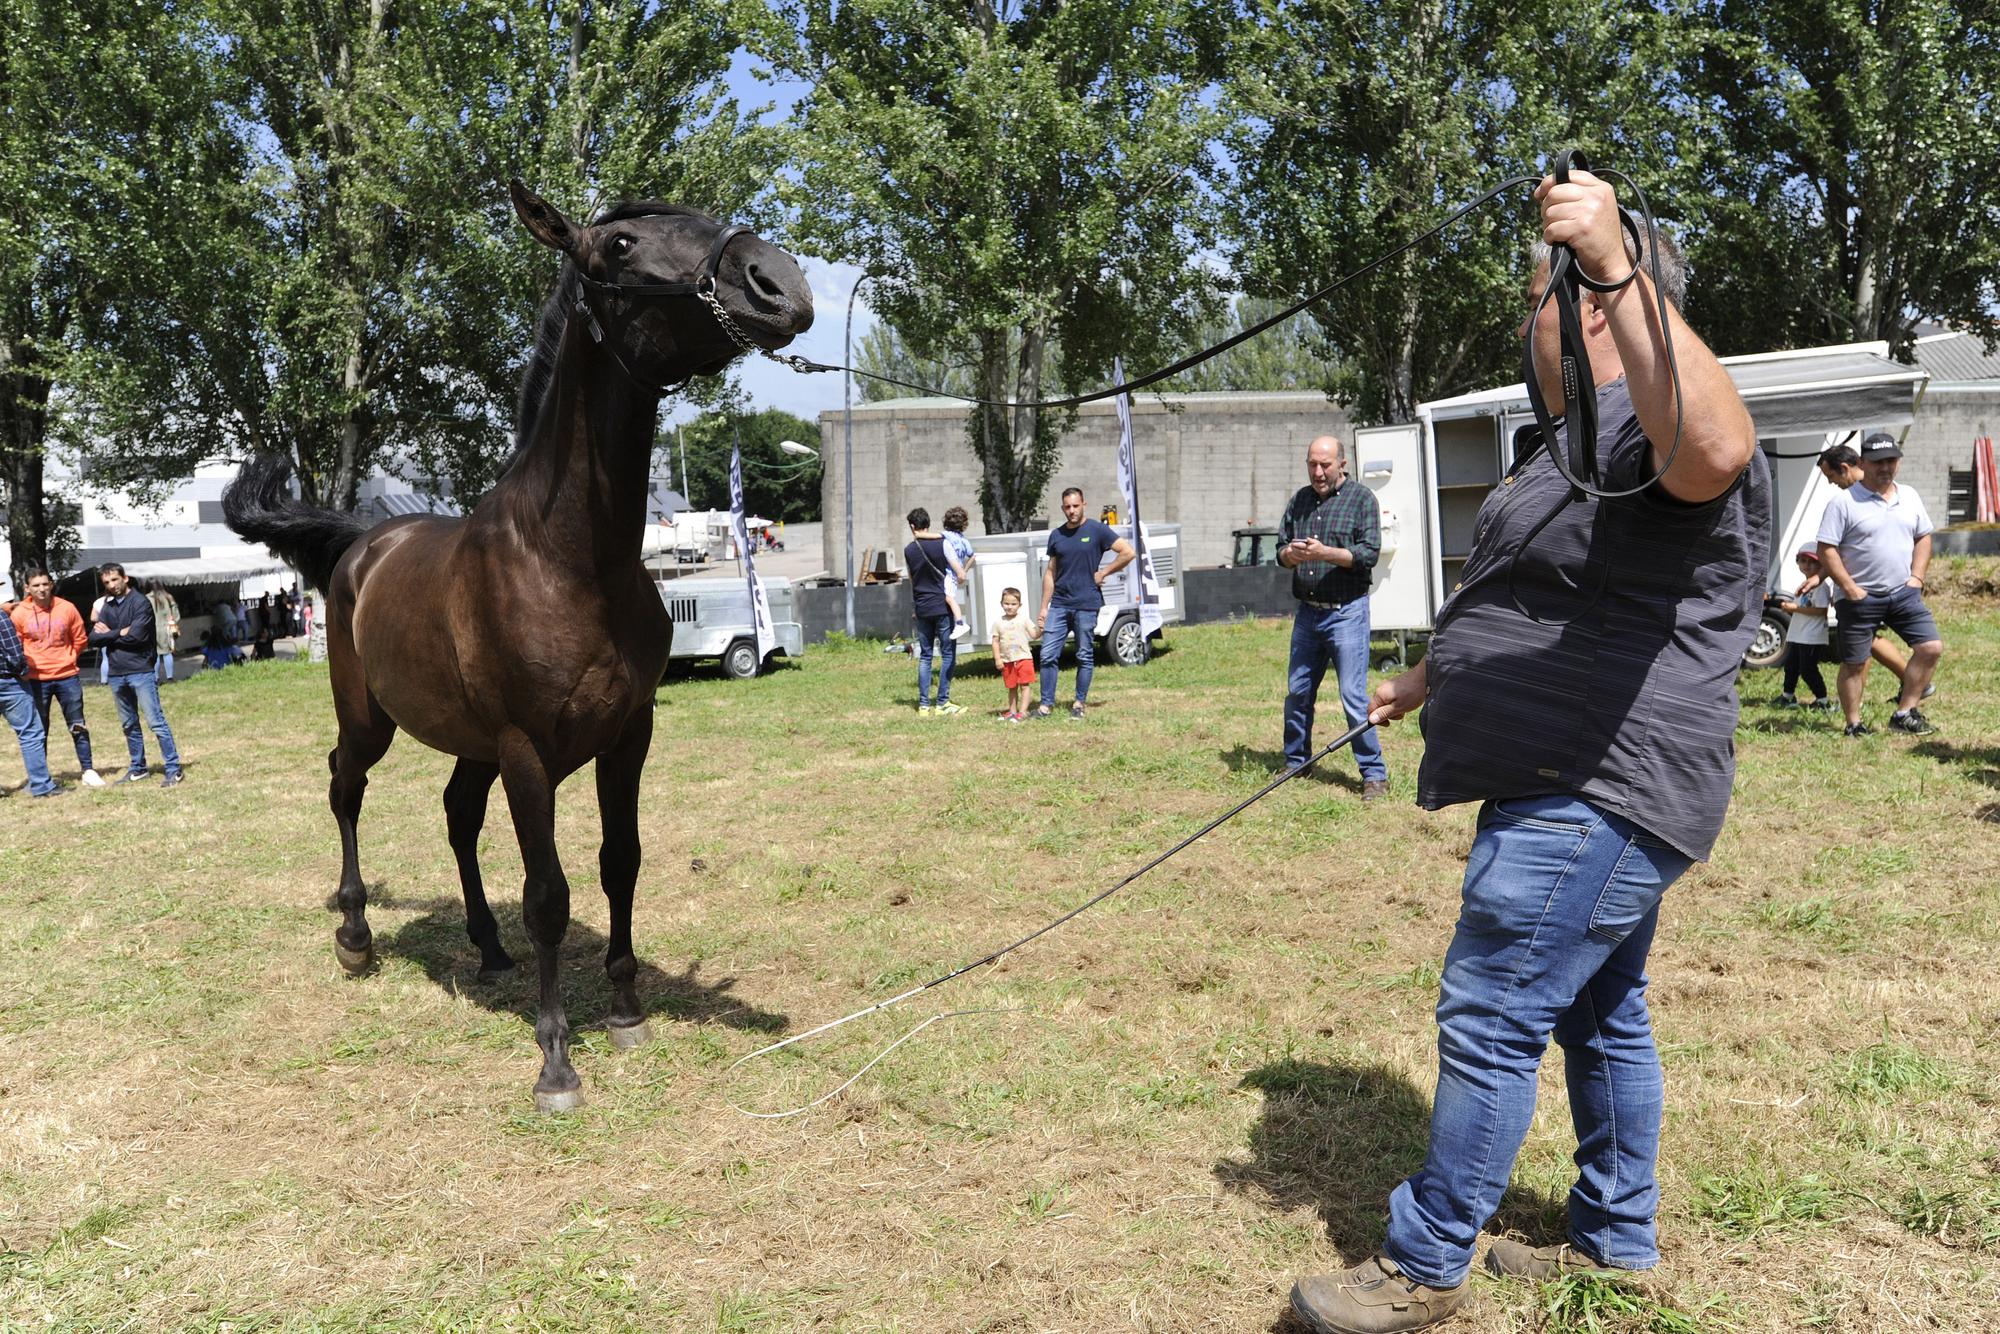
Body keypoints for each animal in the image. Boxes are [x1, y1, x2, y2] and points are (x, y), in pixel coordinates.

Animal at [232, 185, 820, 1104]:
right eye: (619, 246)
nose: (778, 284)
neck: (568, 559)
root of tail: (361, 543)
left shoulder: (628, 735)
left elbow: (620, 862)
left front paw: (626, 1011)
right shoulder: (526, 750)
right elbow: (547, 892)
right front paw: (556, 1062)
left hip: (471, 744)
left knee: (455, 815)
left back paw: (487, 947)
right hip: (373, 720)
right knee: (344, 787)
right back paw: (356, 936)